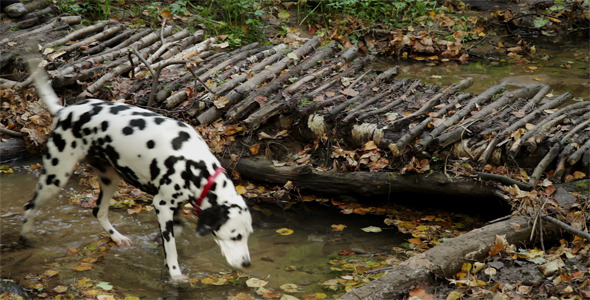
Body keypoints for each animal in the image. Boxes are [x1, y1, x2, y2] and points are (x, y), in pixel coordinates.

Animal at [22, 64, 253, 282]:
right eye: (235, 236)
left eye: (248, 235)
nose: (247, 264)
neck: (194, 164)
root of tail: (64, 111)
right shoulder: (162, 205)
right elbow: (171, 248)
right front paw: (175, 274)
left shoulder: (174, 207)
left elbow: (174, 233)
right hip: (55, 177)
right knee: (29, 206)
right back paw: (26, 237)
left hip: (109, 179)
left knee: (99, 211)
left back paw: (117, 238)